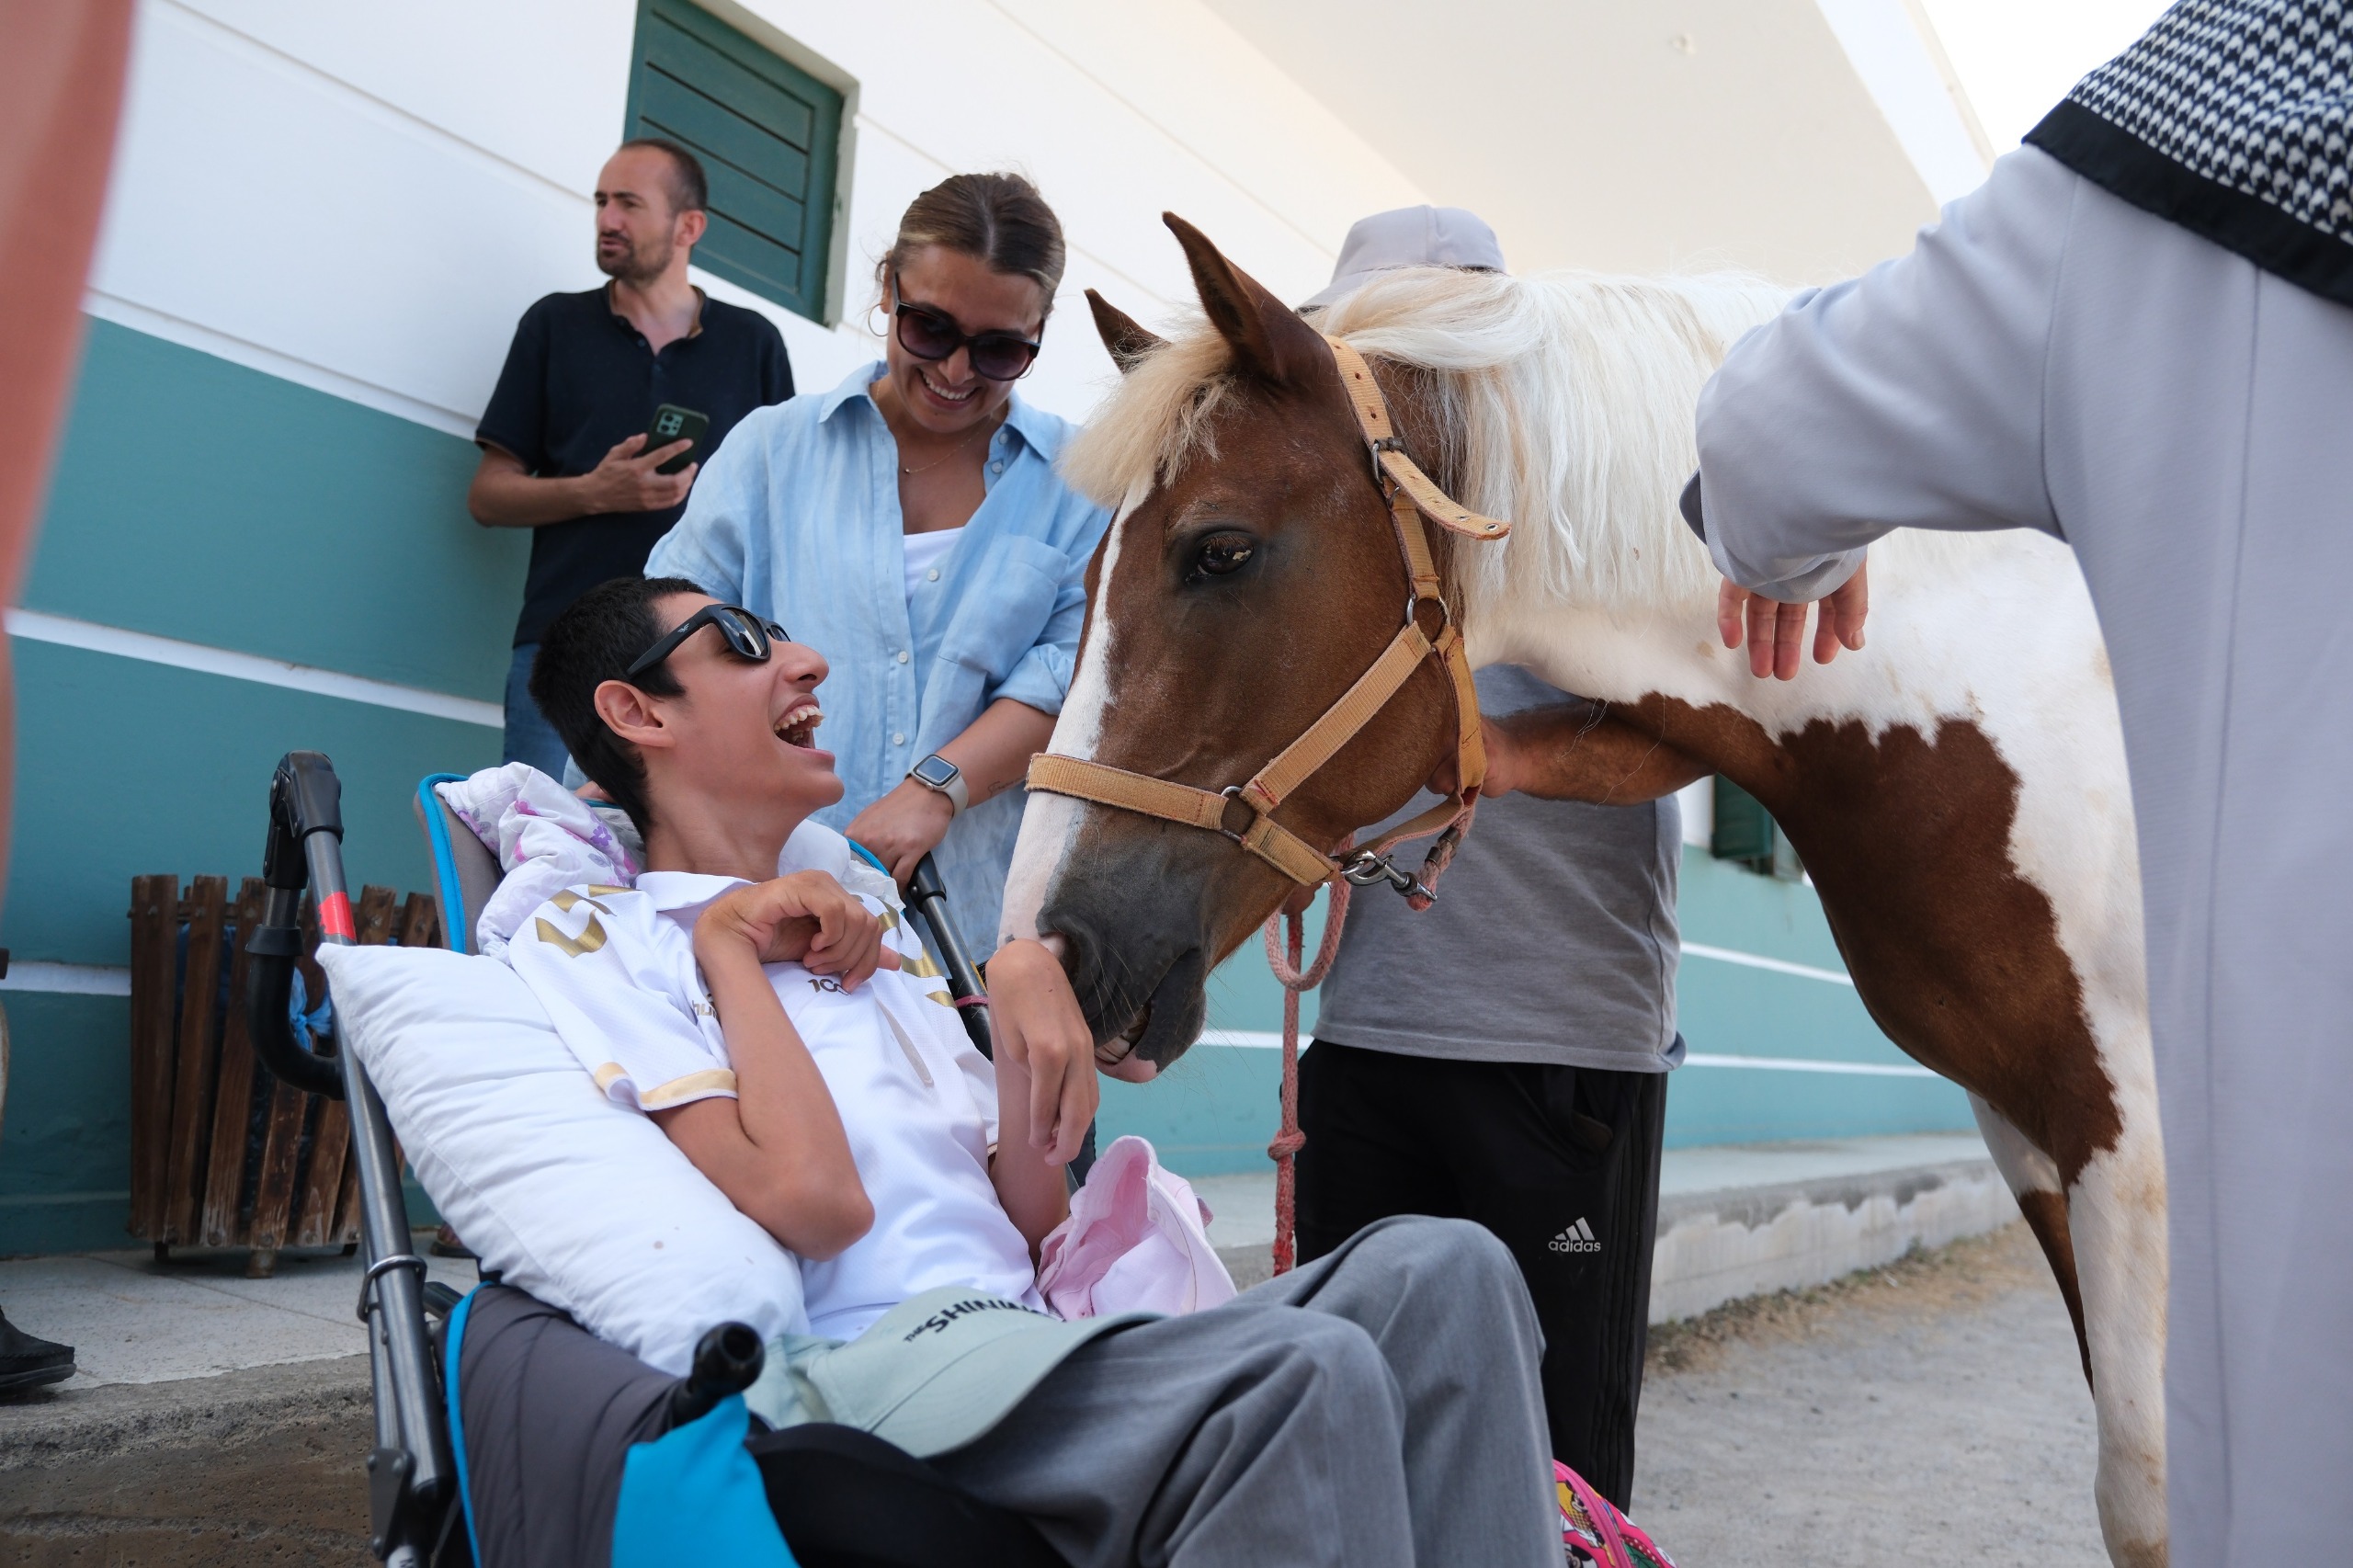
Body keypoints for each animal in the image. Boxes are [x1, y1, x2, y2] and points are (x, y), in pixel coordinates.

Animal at [997, 210, 2165, 1562]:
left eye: (1220, 549)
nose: (1038, 950)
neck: (2032, 699)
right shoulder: (2027, 1125)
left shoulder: (2128, 1131)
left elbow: (2144, 1489)